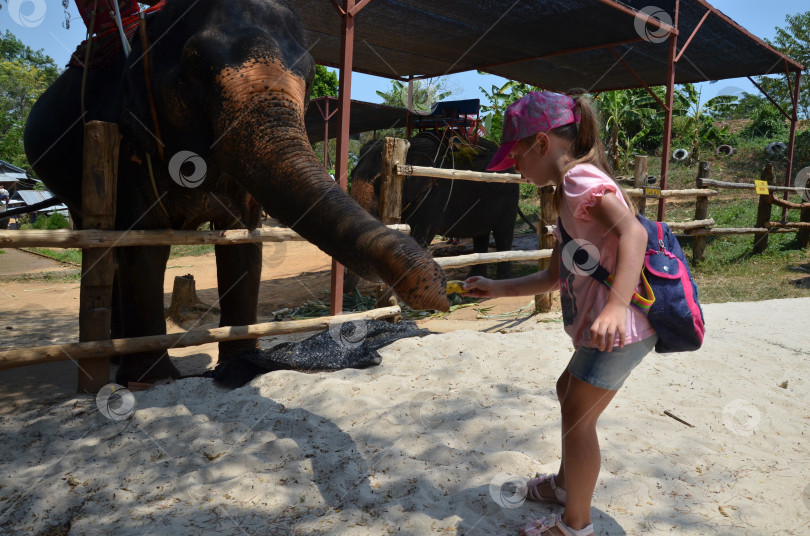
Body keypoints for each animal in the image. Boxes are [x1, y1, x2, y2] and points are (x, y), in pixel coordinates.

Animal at [25, 0, 446, 386]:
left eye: (310, 79)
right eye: (194, 71)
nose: (440, 286)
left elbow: (243, 241)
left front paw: (241, 363)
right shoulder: (126, 138)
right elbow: (145, 244)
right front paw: (153, 380)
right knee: (103, 244)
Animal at [350, 134, 520, 280]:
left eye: (381, 183)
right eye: (351, 174)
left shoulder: (434, 194)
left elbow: (420, 236)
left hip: (510, 197)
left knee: (503, 233)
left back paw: (503, 280)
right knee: (481, 235)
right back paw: (473, 278)